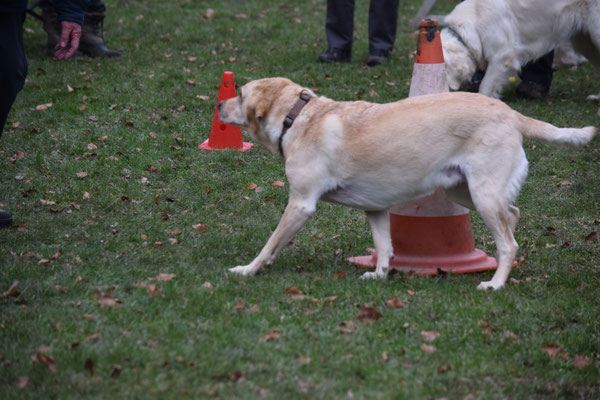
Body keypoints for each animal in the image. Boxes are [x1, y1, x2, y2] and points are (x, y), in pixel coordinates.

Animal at [217, 78, 596, 290]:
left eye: (239, 93)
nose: (218, 103)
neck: (296, 117)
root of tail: (511, 113)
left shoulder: (300, 203)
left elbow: (270, 243)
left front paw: (249, 269)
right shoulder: (375, 208)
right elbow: (384, 246)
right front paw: (380, 275)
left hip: (482, 194)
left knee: (509, 243)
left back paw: (496, 284)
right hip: (465, 191)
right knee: (513, 216)